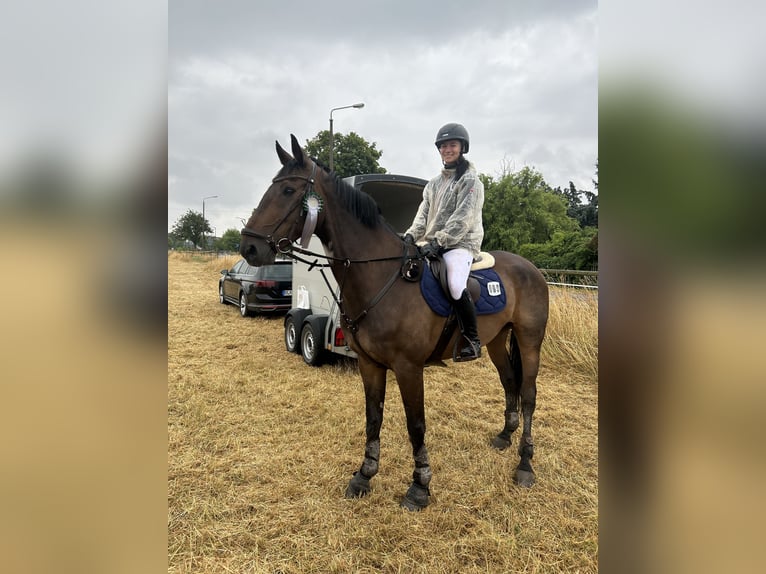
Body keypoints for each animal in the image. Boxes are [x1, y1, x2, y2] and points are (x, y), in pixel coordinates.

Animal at [240, 135, 549, 510]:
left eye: (287, 190)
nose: (249, 246)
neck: (381, 275)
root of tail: (530, 268)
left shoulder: (408, 367)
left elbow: (416, 424)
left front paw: (419, 487)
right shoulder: (370, 364)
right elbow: (374, 417)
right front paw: (364, 475)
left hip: (530, 341)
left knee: (529, 394)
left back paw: (525, 465)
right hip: (495, 342)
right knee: (509, 382)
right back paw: (505, 436)